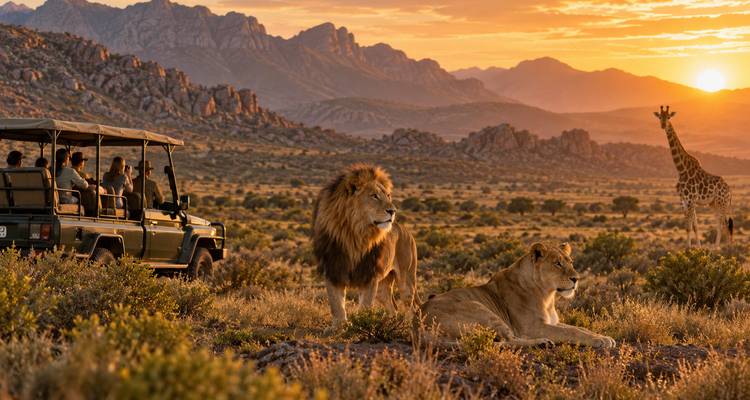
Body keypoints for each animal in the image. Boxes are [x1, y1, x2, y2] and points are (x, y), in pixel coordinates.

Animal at [653, 105, 733, 247]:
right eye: (660, 117)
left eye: (668, 117)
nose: (663, 125)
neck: (681, 169)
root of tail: (729, 191)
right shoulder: (683, 200)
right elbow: (693, 226)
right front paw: (697, 247)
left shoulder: (690, 200)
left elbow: (689, 226)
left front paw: (688, 248)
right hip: (713, 204)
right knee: (719, 224)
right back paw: (715, 248)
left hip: (722, 202)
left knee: (724, 224)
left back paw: (725, 248)